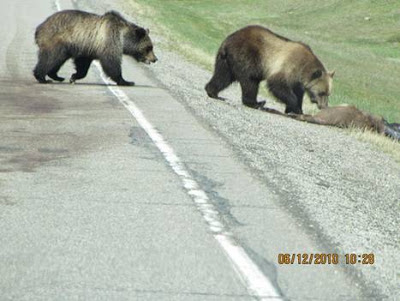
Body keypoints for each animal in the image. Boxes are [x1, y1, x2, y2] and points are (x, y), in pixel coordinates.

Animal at [206, 24, 334, 112]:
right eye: (322, 93)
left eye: (328, 94)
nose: (323, 106)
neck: (303, 69)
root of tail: (227, 42)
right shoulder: (289, 66)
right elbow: (277, 84)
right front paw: (295, 107)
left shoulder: (297, 80)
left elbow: (298, 92)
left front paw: (295, 110)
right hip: (248, 56)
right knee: (250, 81)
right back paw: (257, 103)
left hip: (226, 61)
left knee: (222, 76)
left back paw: (212, 92)